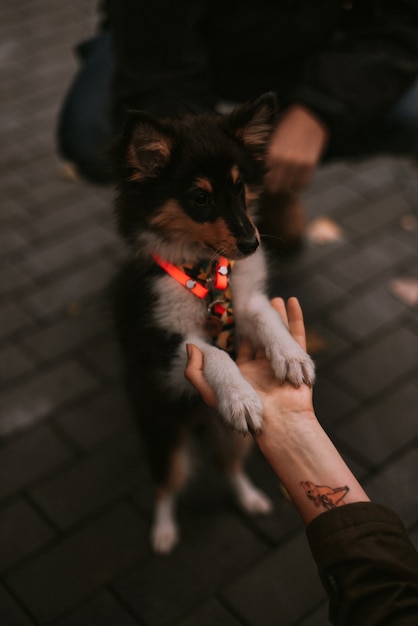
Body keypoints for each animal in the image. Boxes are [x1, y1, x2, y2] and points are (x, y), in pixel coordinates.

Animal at [111, 92, 314, 552]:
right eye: (199, 198)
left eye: (239, 187)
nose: (252, 244)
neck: (203, 267)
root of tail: (202, 420)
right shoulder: (163, 346)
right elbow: (212, 354)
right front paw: (240, 397)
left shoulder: (246, 299)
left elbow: (266, 316)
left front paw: (291, 356)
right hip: (162, 427)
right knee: (167, 483)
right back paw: (163, 533)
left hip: (229, 439)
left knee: (228, 466)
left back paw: (251, 498)